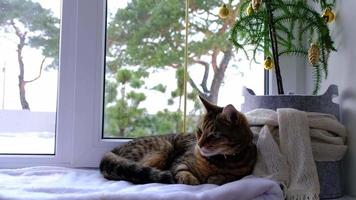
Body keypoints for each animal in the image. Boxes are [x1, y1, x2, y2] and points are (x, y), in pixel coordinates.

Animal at [99, 96, 256, 185]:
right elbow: (181, 170)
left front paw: (218, 178)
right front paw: (190, 179)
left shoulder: (244, 173)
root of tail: (113, 150)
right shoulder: (179, 161)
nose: (199, 145)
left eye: (214, 135)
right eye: (199, 131)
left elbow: (232, 177)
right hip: (163, 147)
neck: (219, 161)